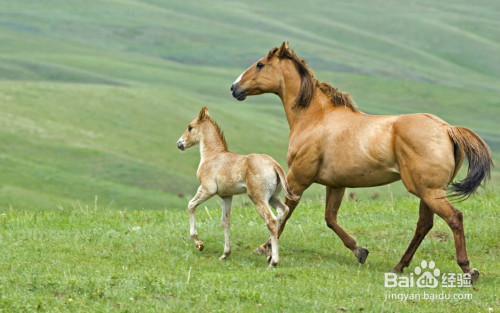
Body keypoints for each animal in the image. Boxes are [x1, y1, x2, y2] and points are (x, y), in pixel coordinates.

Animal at [177, 107, 296, 268]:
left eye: (190, 127)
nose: (179, 144)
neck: (213, 156)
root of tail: (274, 164)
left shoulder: (207, 190)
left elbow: (191, 205)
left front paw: (199, 243)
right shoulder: (226, 196)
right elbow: (225, 222)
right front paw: (225, 254)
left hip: (258, 198)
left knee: (271, 220)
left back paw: (273, 262)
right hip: (273, 197)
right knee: (283, 211)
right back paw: (269, 254)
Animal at [230, 40, 492, 280]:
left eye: (260, 64)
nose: (234, 88)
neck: (314, 118)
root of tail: (447, 128)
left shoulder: (297, 179)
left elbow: (284, 214)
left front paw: (264, 249)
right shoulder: (336, 184)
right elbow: (330, 219)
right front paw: (360, 251)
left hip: (429, 191)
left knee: (453, 218)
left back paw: (468, 269)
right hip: (427, 191)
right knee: (424, 225)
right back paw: (398, 267)